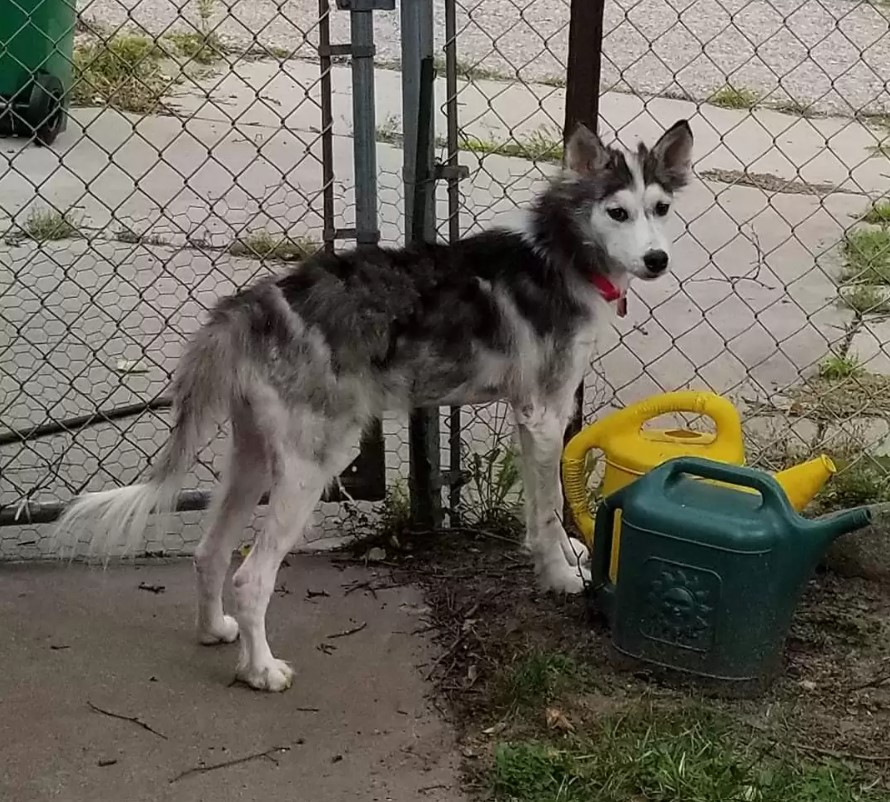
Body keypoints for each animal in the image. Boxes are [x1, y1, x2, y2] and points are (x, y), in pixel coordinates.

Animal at [53, 117, 692, 688]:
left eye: (660, 209)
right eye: (617, 212)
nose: (657, 260)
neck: (559, 254)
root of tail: (256, 303)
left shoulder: (532, 417)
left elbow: (544, 507)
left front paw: (562, 564)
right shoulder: (544, 414)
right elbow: (550, 509)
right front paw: (559, 576)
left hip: (253, 458)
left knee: (210, 553)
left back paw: (216, 632)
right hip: (312, 466)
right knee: (250, 578)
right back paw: (261, 672)